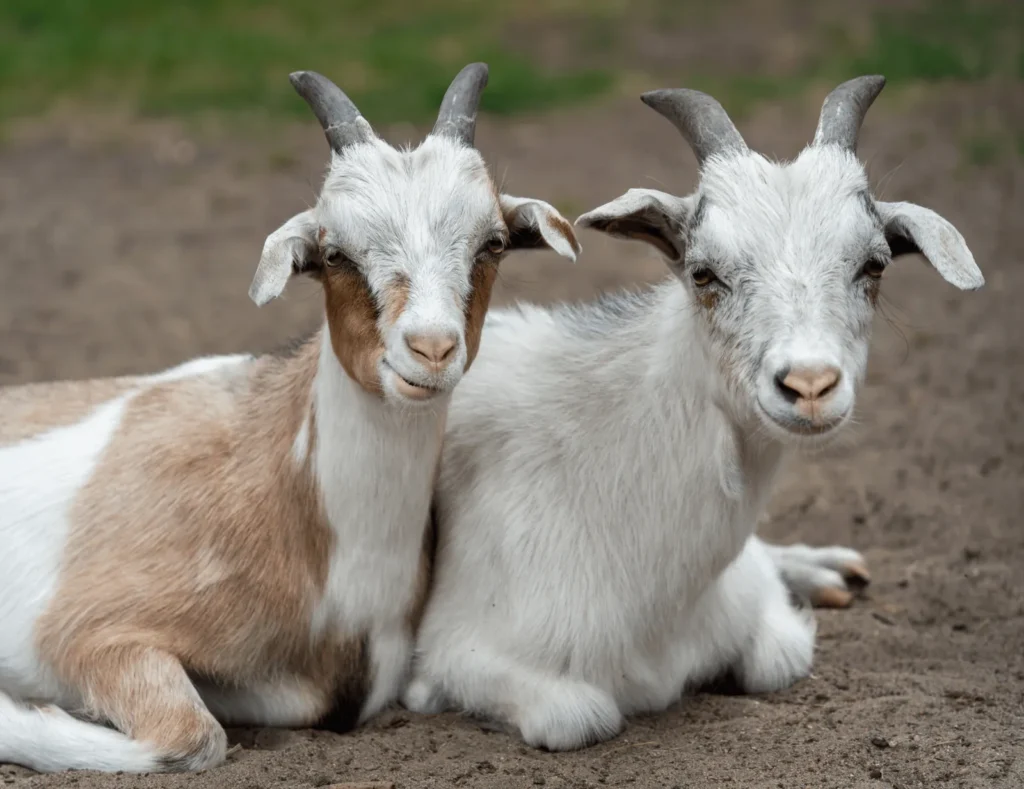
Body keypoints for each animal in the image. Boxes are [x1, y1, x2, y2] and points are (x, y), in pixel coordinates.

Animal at [403, 75, 984, 751]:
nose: (809, 384)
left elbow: (775, 656)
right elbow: (579, 717)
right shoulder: (459, 651)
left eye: (875, 264)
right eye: (704, 273)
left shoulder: (755, 620)